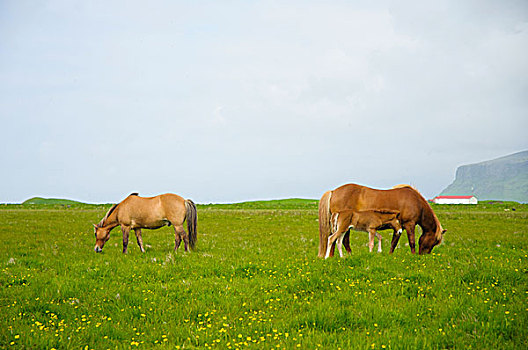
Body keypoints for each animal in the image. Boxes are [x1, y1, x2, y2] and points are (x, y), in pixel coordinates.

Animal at [318, 183, 446, 258]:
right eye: (435, 241)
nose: (424, 256)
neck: (416, 203)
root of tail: (333, 192)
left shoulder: (399, 227)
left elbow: (394, 242)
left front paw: (389, 255)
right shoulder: (410, 224)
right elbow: (412, 241)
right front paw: (413, 255)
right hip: (344, 226)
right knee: (340, 240)